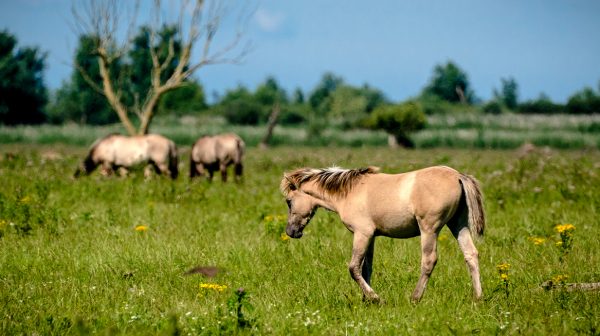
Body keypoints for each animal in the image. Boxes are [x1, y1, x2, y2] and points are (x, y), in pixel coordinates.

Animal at [278, 165, 486, 302]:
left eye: (289, 201)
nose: (291, 232)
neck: (349, 192)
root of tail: (458, 176)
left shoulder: (362, 234)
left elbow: (353, 268)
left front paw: (375, 298)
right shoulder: (371, 237)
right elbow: (366, 268)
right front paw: (366, 300)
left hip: (429, 229)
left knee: (429, 261)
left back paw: (415, 297)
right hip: (458, 225)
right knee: (471, 255)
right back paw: (478, 297)